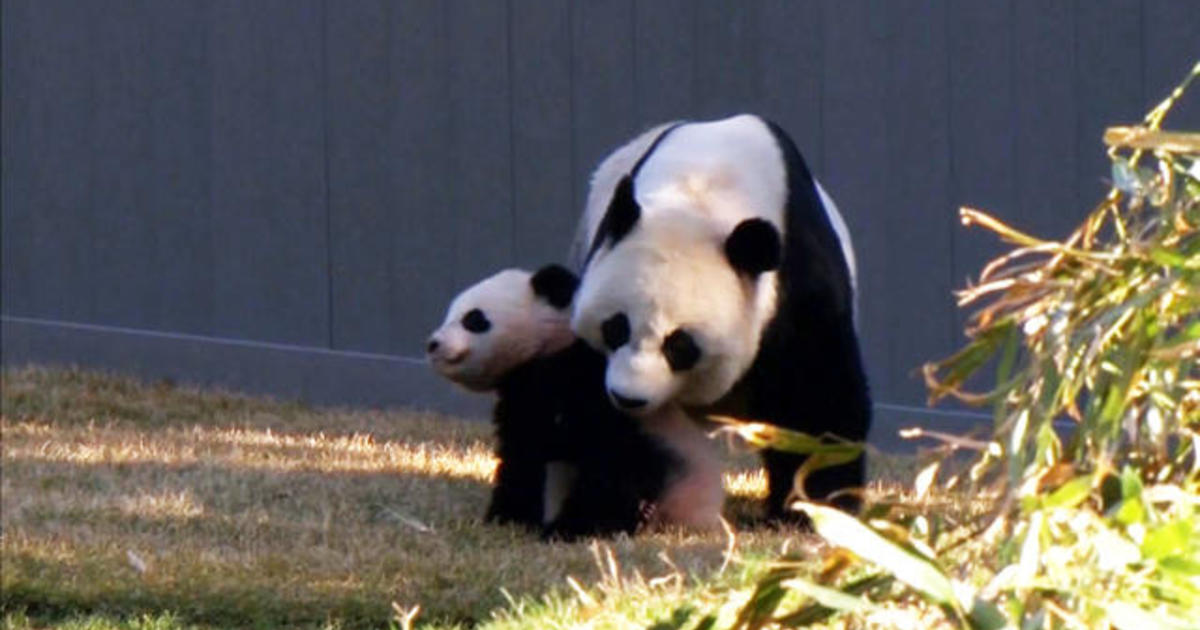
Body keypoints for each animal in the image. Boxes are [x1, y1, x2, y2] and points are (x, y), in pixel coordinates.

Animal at [429, 264, 720, 535]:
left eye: (474, 319)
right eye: (449, 314)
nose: (433, 344)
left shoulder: (596, 385)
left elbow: (607, 456)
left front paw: (570, 529)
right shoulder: (523, 395)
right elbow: (524, 451)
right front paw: (507, 518)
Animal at [571, 115, 873, 518]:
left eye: (680, 345)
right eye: (615, 327)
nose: (628, 398)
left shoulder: (798, 279)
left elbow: (817, 393)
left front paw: (812, 509)